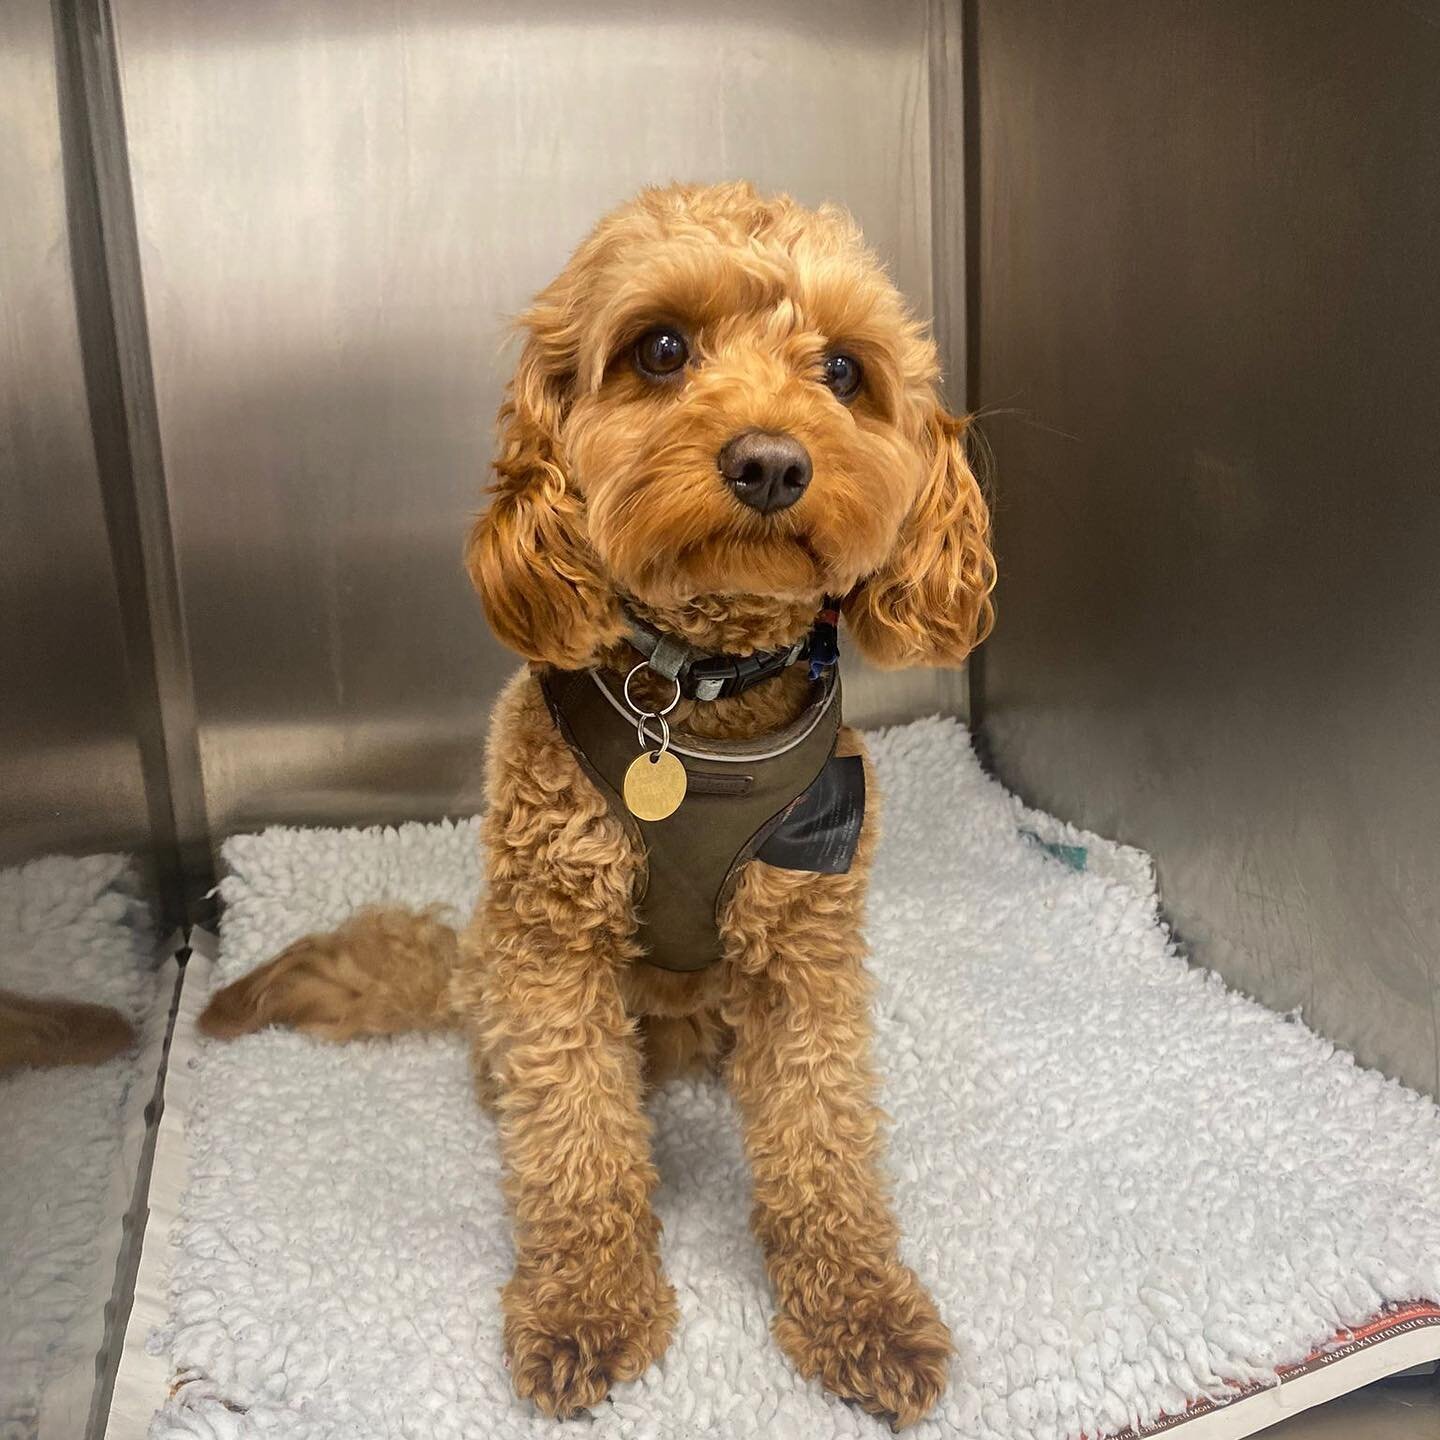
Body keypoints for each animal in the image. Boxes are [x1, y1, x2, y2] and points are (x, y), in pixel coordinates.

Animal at [200, 182, 990, 1428]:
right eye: (661, 349)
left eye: (844, 371)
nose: (771, 463)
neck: (700, 699)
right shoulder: (553, 946)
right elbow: (576, 1139)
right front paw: (589, 1308)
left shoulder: (805, 937)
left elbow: (822, 1135)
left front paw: (860, 1309)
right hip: (508, 968)